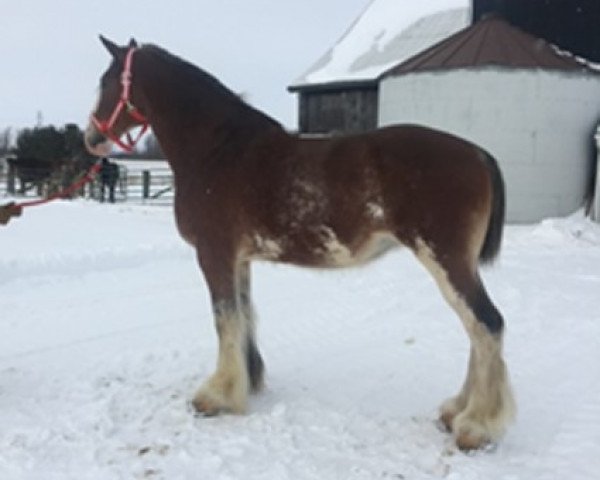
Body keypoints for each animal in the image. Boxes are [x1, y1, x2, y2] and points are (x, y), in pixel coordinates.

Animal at [84, 37, 516, 450]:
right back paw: (456, 411)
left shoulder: (213, 254)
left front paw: (216, 397)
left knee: (486, 323)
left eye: (107, 80)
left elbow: (224, 318)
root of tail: (478, 153)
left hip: (445, 259)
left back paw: (476, 427)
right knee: (477, 328)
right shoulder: (239, 259)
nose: (91, 138)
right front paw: (250, 379)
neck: (219, 150)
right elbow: (244, 314)